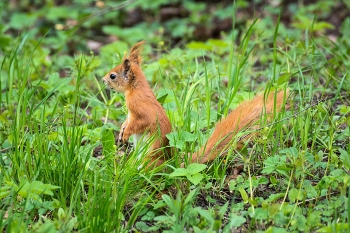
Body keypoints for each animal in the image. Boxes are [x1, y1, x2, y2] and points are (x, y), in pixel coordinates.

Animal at [102, 41, 288, 167]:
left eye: (113, 76)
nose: (103, 80)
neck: (135, 89)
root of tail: (171, 164)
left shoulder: (140, 108)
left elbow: (140, 122)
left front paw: (126, 134)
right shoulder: (130, 113)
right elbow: (127, 121)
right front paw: (122, 130)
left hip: (151, 155)